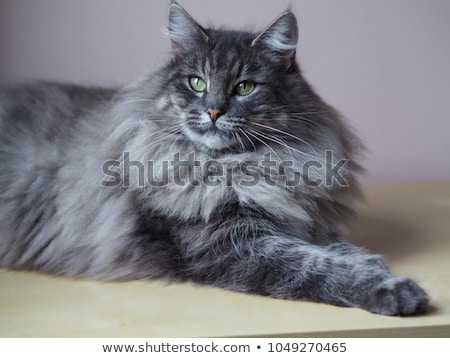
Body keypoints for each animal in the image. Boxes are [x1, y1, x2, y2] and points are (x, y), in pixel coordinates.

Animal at [0, 1, 428, 314]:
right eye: (197, 82)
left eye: (245, 87)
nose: (213, 110)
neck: (238, 167)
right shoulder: (228, 243)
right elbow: (313, 265)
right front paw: (393, 289)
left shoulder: (298, 220)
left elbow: (334, 248)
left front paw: (371, 263)